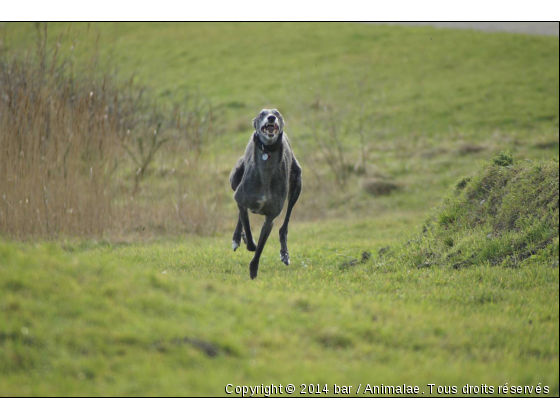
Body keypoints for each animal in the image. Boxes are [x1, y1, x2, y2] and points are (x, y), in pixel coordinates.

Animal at [229, 109, 302, 278]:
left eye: (277, 113)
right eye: (262, 113)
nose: (271, 117)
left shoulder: (270, 218)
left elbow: (262, 245)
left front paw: (253, 269)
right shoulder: (241, 199)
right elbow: (249, 233)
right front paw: (247, 241)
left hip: (297, 184)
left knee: (284, 225)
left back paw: (284, 254)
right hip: (235, 177)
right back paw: (237, 238)